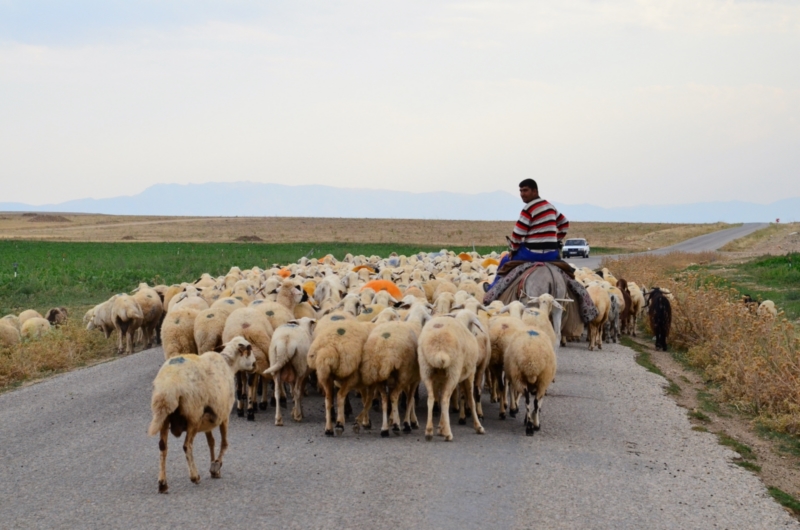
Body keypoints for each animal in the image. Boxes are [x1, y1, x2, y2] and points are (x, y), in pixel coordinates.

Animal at [145, 334, 255, 490]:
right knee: (187, 446)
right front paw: (216, 466)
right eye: (249, 349)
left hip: (164, 417)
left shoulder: (208, 420)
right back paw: (194, 476)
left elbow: (211, 442)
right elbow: (224, 443)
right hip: (193, 416)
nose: (255, 365)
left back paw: (162, 483)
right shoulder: (223, 415)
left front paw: (213, 468)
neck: (228, 364)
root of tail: (169, 387)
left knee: (162, 447)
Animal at [416, 312, 484, 440]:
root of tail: (438, 346)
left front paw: (440, 428)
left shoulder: (440, 379)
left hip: (426, 370)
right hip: (454, 372)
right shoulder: (470, 373)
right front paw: (478, 426)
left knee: (431, 398)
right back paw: (448, 434)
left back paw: (429, 431)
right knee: (445, 400)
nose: (476, 334)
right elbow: (471, 400)